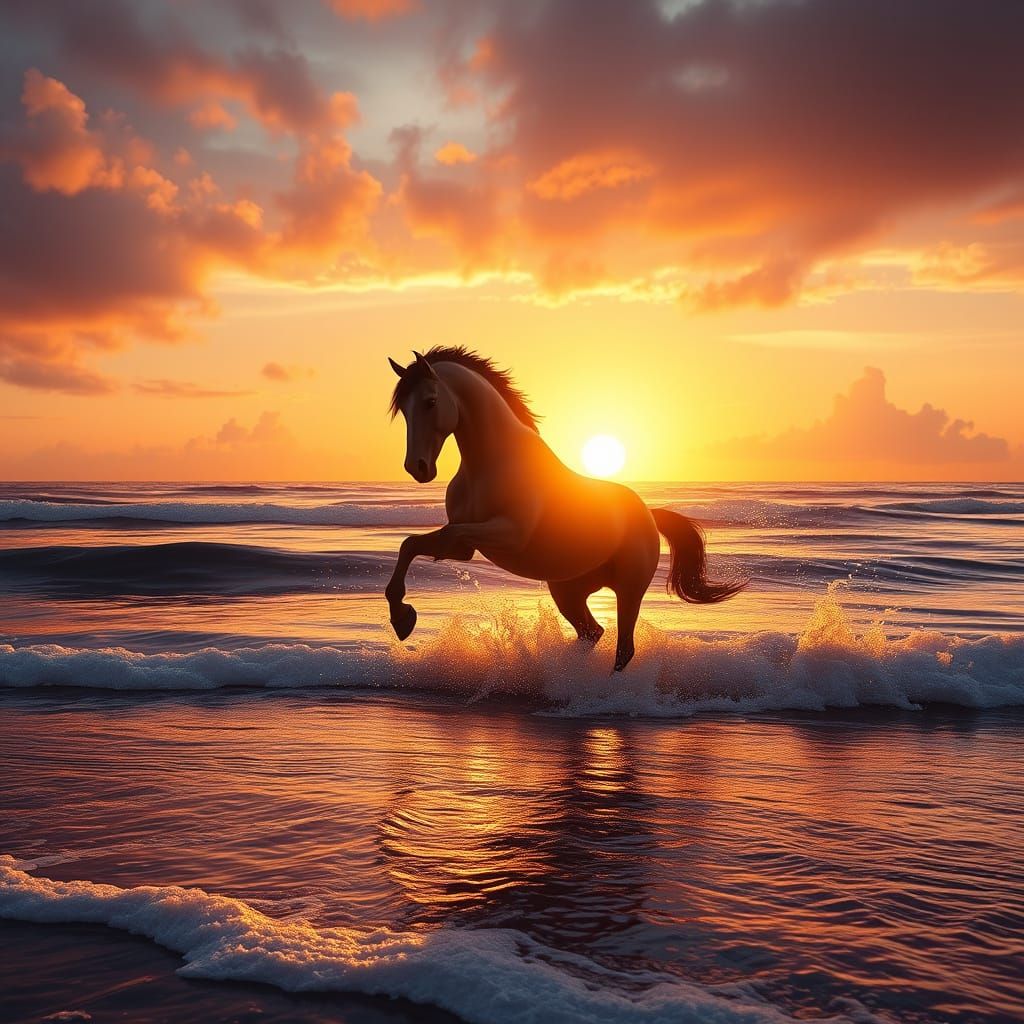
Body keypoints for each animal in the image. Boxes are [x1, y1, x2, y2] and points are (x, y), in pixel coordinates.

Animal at [385, 347, 743, 671]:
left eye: (430, 401)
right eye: (403, 410)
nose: (417, 467)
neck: (491, 465)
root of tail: (648, 514)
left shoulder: (509, 534)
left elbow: (444, 534)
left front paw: (404, 615)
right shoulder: (466, 548)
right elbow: (411, 544)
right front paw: (402, 617)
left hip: (629, 590)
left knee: (623, 649)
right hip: (568, 591)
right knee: (592, 632)